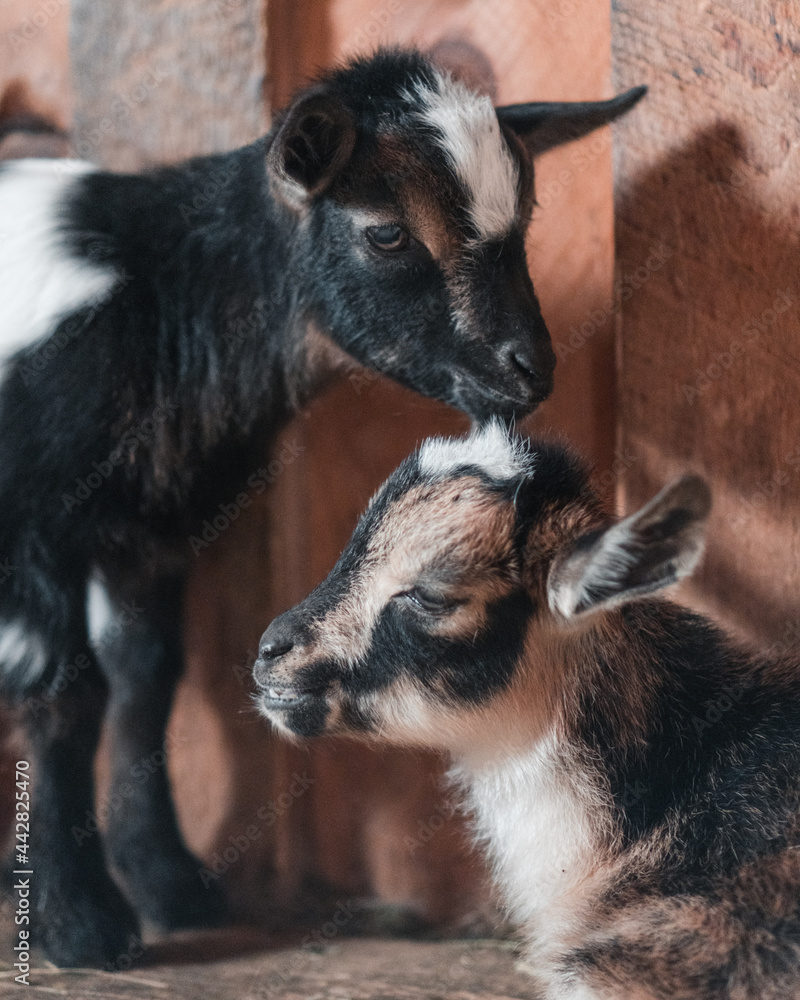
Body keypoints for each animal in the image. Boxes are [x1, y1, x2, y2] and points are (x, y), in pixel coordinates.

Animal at [0, 48, 645, 968]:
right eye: (387, 232)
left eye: (522, 223)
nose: (530, 369)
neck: (165, 290)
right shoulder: (35, 524)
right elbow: (62, 694)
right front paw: (80, 922)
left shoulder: (151, 529)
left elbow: (145, 680)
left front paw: (172, 885)